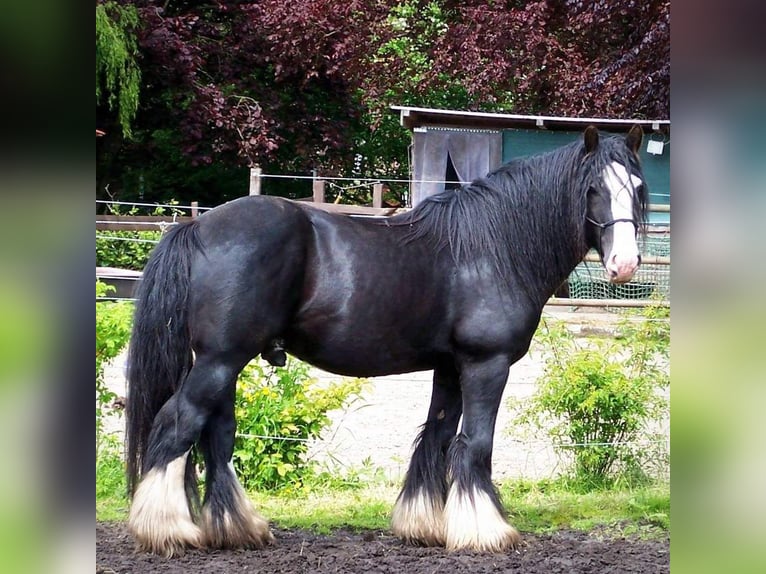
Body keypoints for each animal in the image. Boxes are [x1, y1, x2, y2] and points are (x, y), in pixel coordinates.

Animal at [124, 125, 647, 557]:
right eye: (593, 189)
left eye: (637, 189)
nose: (624, 264)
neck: (494, 248)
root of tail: (199, 225)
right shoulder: (486, 364)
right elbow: (475, 444)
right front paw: (486, 531)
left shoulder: (450, 367)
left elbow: (437, 438)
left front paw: (425, 525)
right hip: (220, 359)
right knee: (177, 424)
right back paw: (166, 529)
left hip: (226, 361)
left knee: (215, 435)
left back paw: (238, 529)